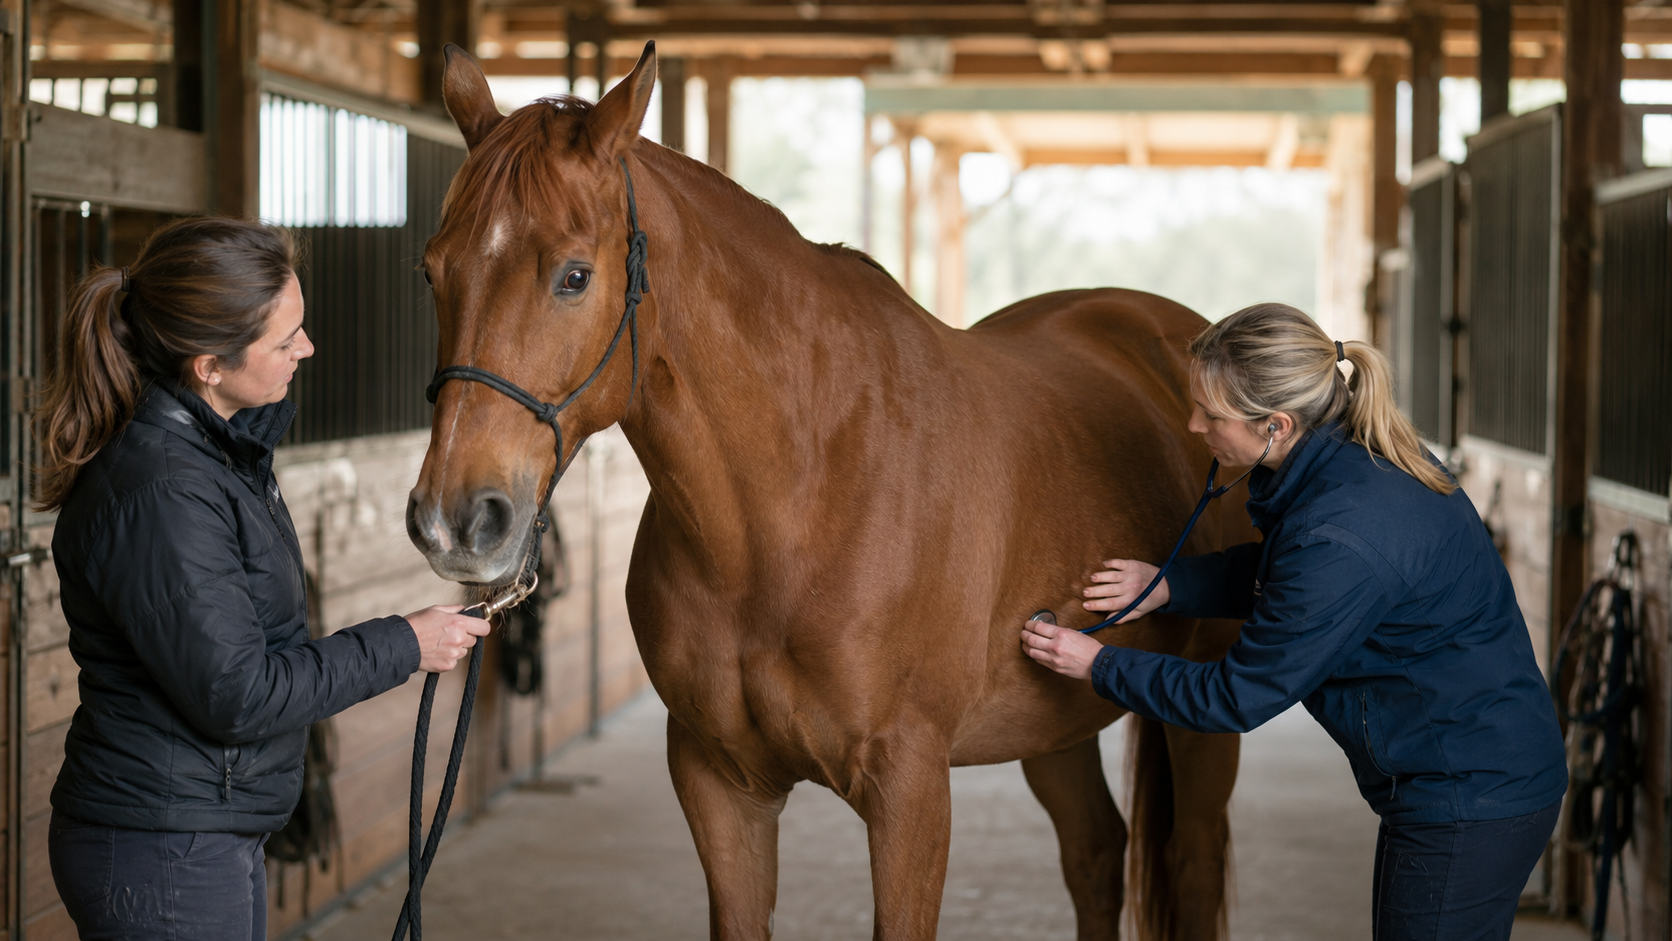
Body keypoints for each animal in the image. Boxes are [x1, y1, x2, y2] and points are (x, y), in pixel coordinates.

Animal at [406, 42, 1252, 941]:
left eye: (573, 275)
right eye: (431, 271)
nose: (455, 519)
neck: (796, 504)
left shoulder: (911, 788)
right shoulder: (718, 783)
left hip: (1200, 721)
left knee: (1192, 866)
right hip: (1053, 722)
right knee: (1095, 852)